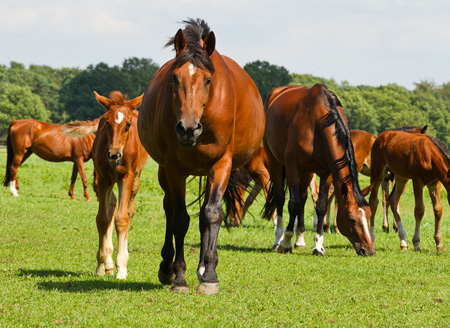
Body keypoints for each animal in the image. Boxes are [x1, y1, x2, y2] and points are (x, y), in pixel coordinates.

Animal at [62, 90, 148, 280]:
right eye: (107, 123)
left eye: (128, 125)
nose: (114, 154)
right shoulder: (103, 178)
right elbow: (102, 219)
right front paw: (102, 264)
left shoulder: (126, 177)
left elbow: (122, 218)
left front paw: (121, 268)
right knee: (112, 205)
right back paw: (108, 262)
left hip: (136, 178)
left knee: (129, 209)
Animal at [137, 18, 264, 294]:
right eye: (175, 78)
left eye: (207, 80)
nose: (187, 128)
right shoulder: (173, 168)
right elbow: (179, 219)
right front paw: (179, 277)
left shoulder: (222, 164)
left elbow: (212, 214)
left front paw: (209, 276)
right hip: (165, 171)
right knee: (170, 209)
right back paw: (167, 268)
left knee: (206, 215)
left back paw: (204, 268)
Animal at [262, 84, 374, 256]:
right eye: (352, 219)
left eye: (368, 215)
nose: (369, 250)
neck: (318, 122)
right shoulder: (293, 167)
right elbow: (293, 204)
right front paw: (286, 242)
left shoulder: (327, 172)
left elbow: (321, 205)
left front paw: (318, 246)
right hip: (275, 161)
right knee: (281, 197)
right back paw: (278, 239)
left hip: (307, 171)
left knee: (302, 197)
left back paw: (300, 239)